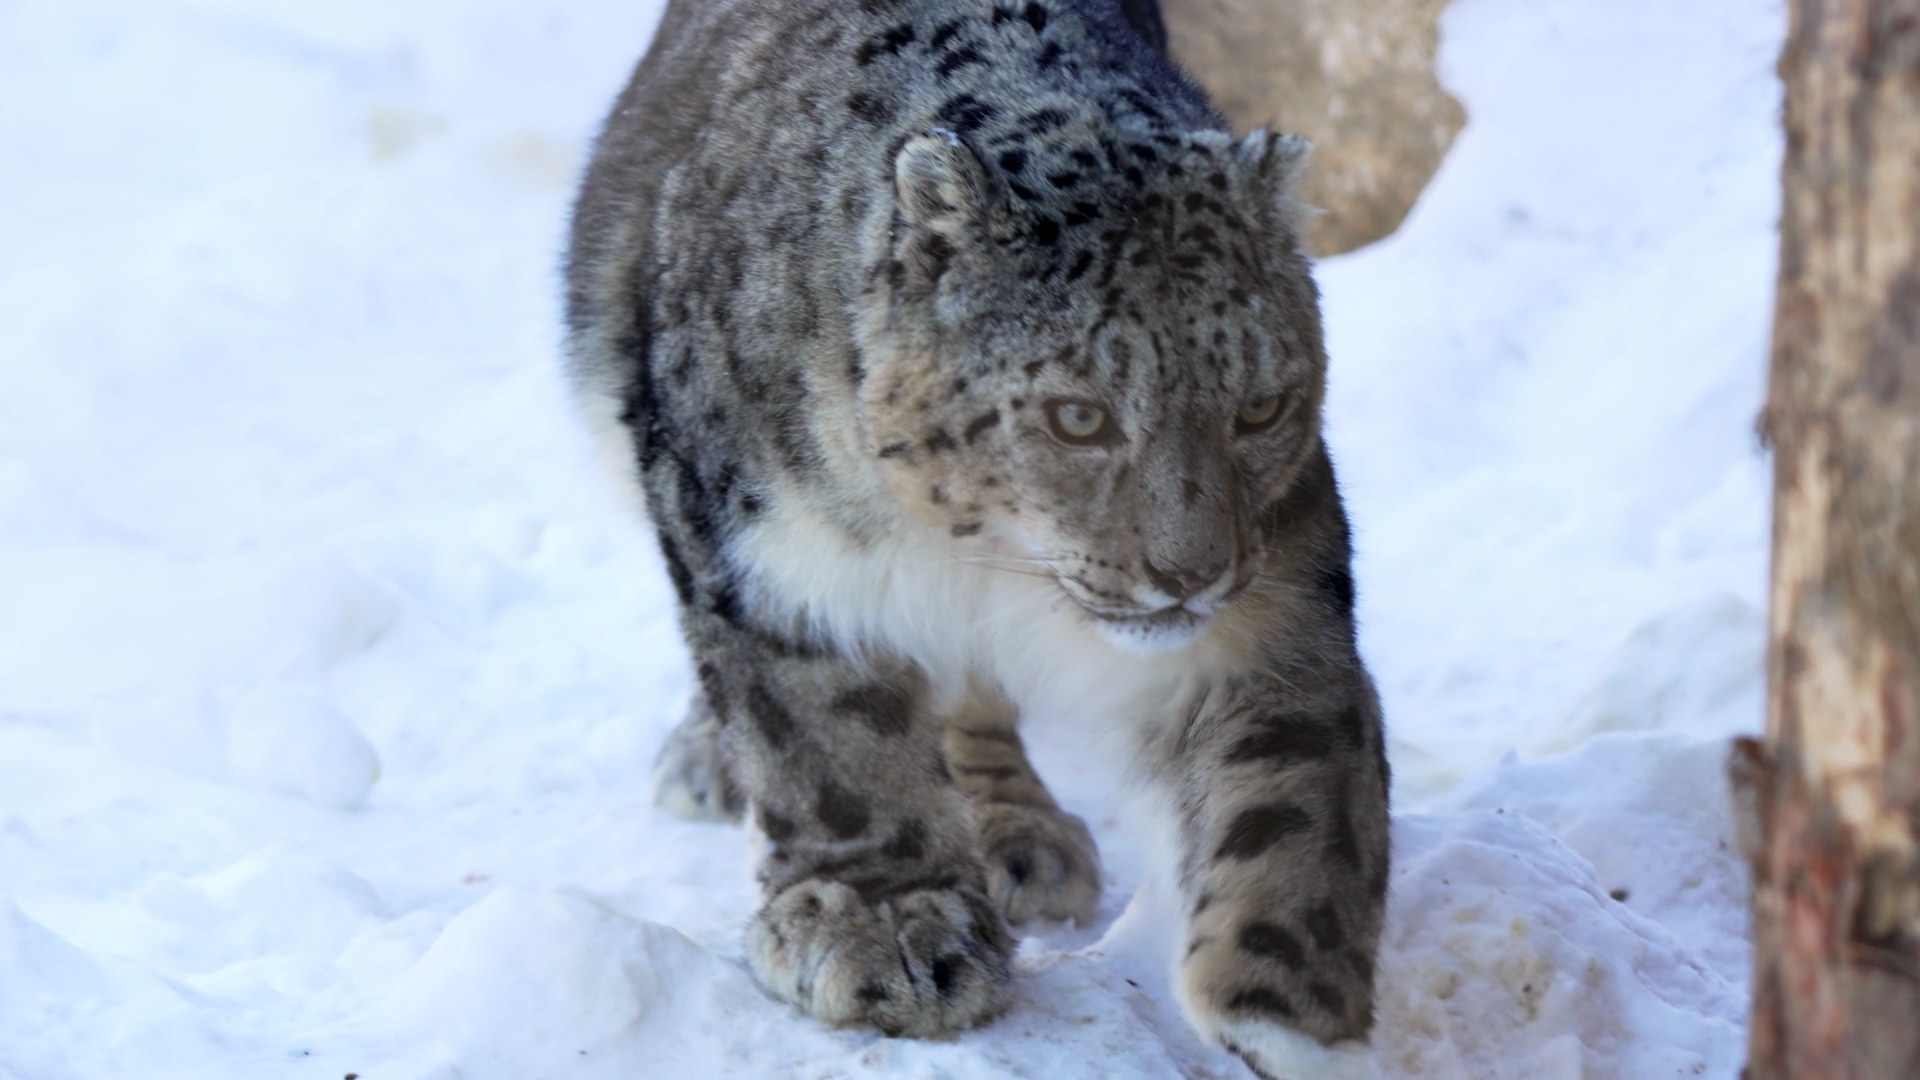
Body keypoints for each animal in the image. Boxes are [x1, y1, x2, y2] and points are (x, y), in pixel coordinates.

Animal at [562, 0, 1391, 1075]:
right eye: (1078, 417)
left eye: (1261, 406)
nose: (1192, 573)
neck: (980, 550)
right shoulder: (772, 557)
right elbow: (826, 735)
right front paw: (889, 926)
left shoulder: (1278, 589)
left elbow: (1293, 782)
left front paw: (1286, 1020)